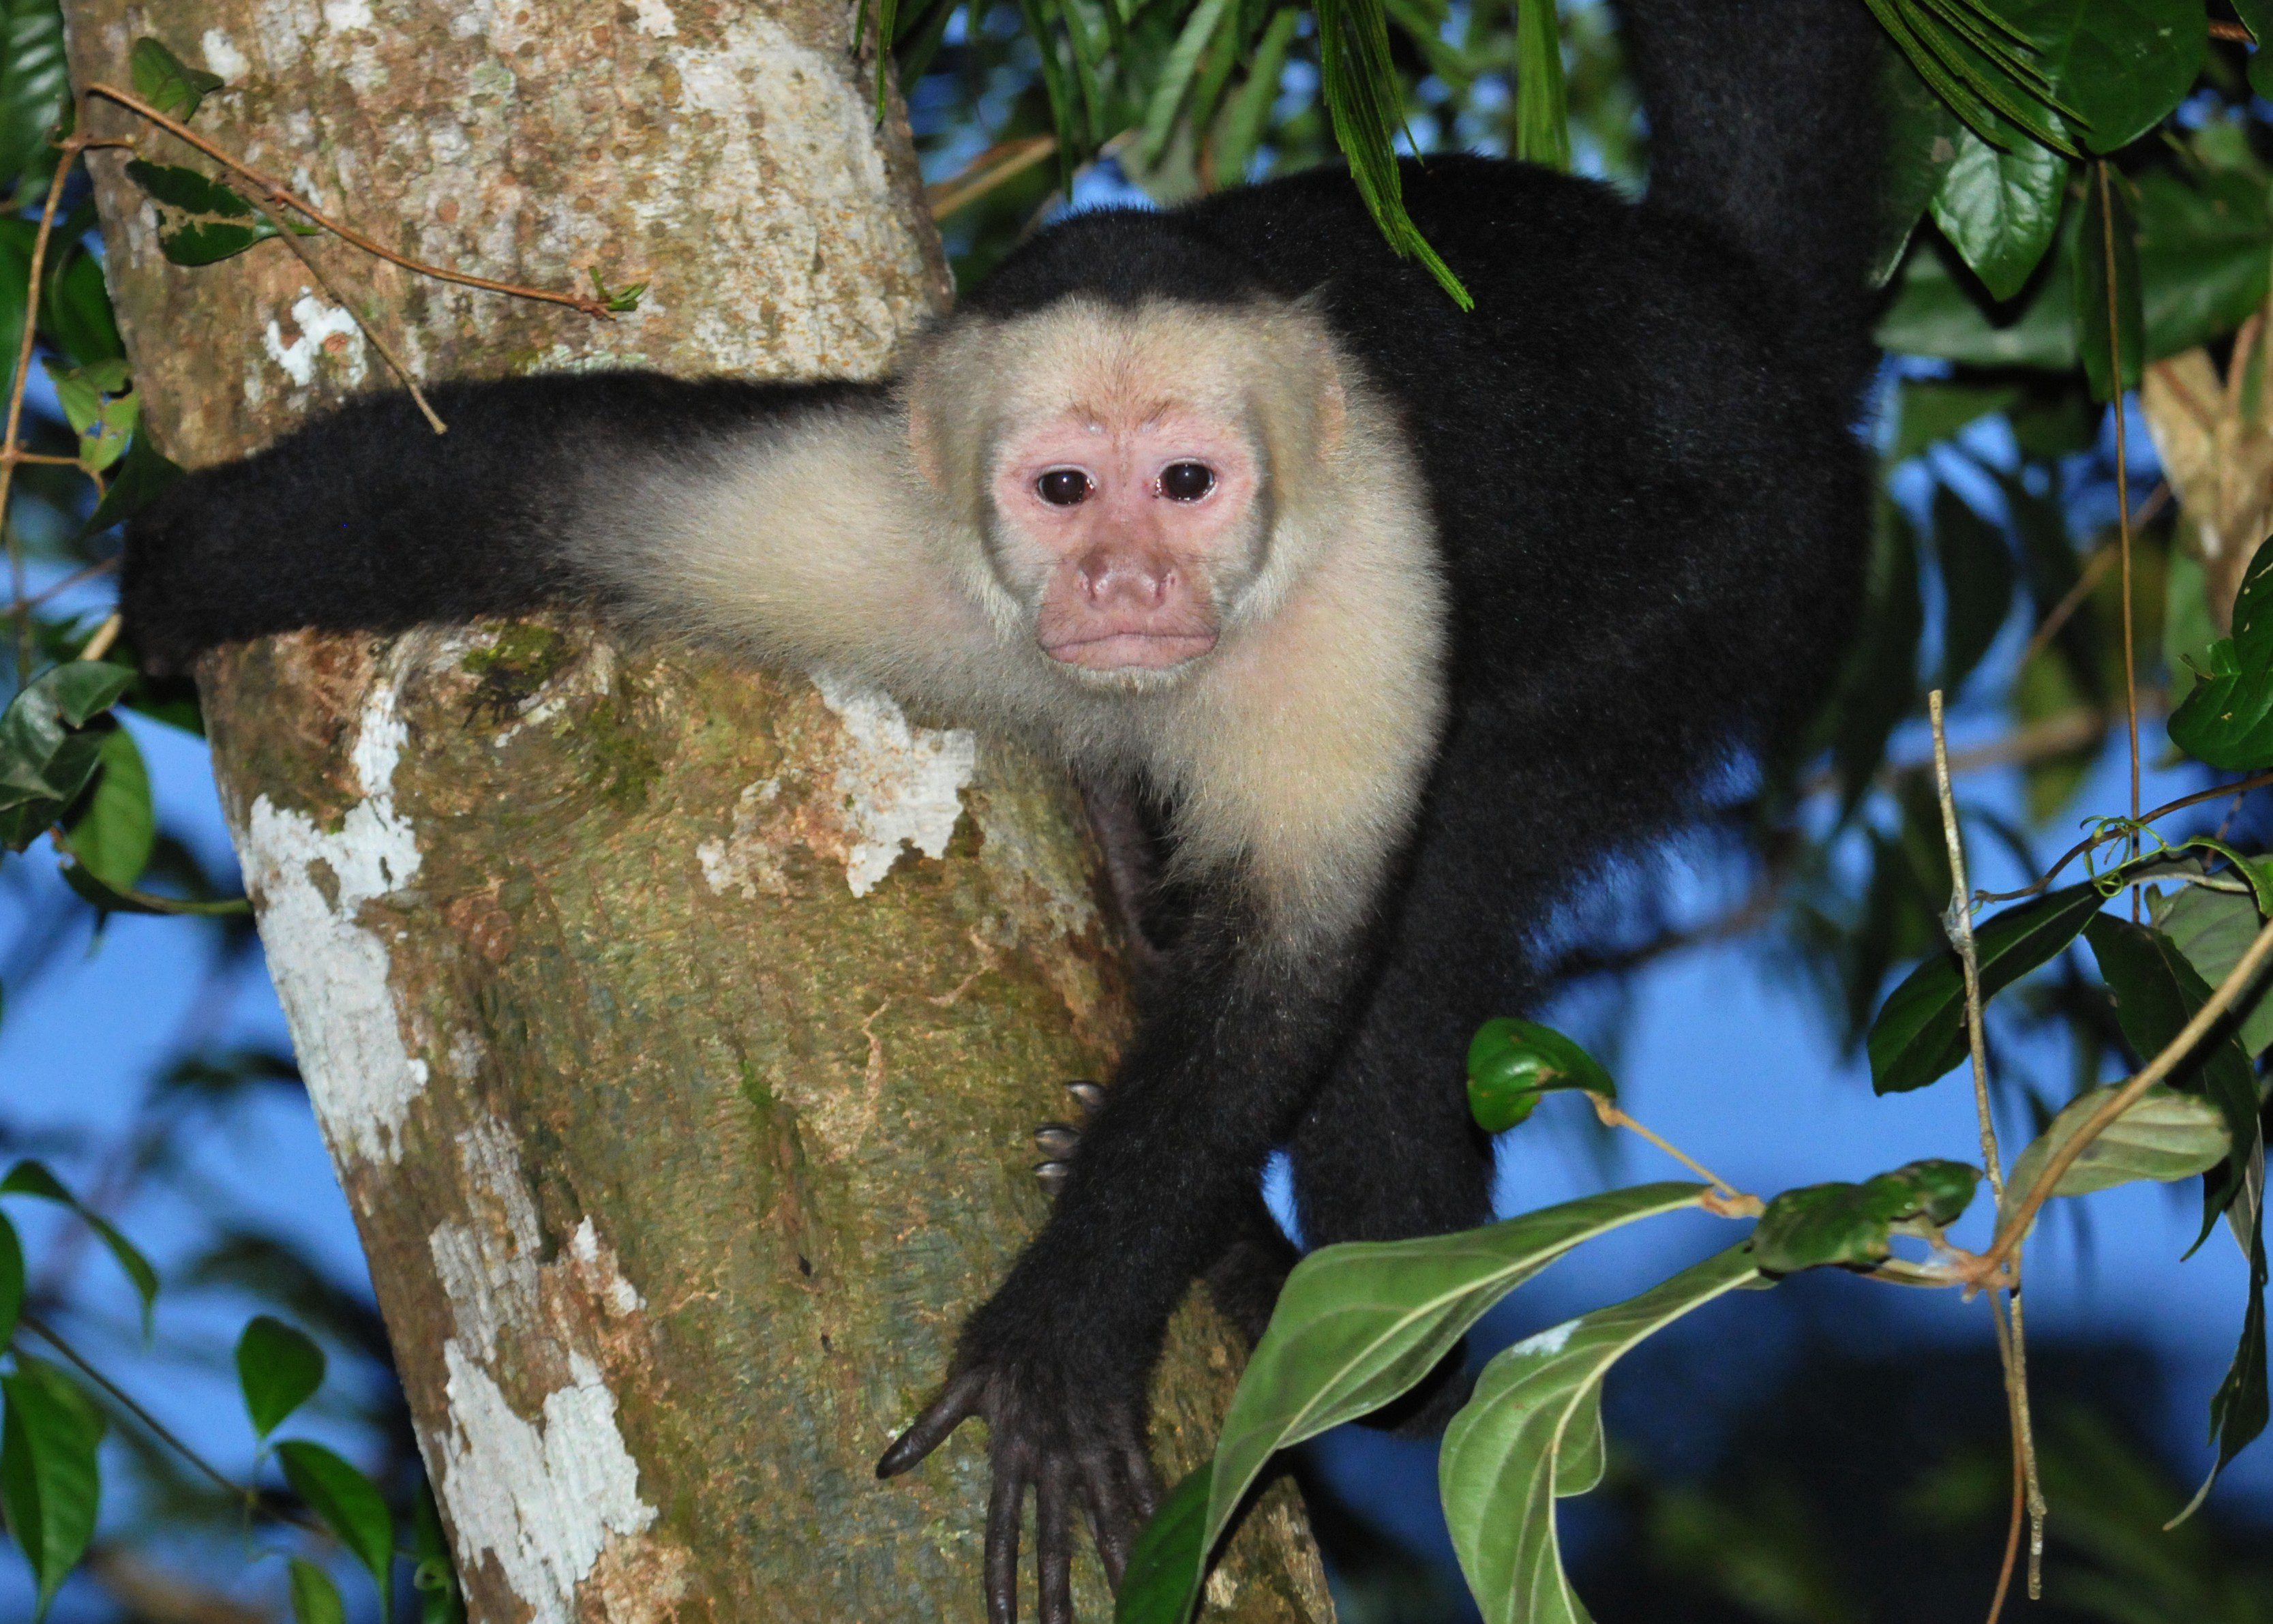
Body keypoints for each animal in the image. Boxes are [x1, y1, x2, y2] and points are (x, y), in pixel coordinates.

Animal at [118, 0, 1885, 1616]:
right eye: (1063, 489)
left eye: (1186, 485)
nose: (1125, 583)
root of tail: (1726, 306)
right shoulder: (866, 512)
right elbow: (536, 481)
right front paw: (175, 571)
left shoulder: (1365, 579)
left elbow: (1294, 976)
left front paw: (1059, 1339)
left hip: (1730, 587)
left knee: (1450, 878)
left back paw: (1331, 1312)